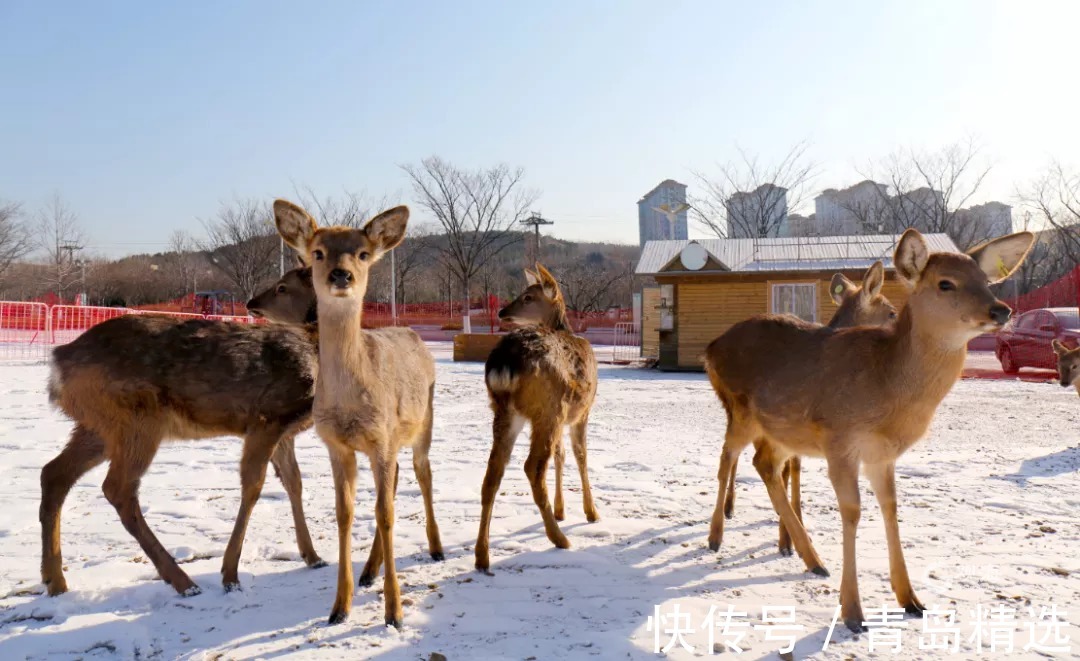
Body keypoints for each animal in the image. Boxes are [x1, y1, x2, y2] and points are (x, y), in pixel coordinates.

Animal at [41, 300, 324, 600]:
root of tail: (58, 363)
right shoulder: (267, 418)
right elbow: (253, 486)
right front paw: (230, 574)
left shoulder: (285, 433)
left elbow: (294, 482)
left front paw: (312, 555)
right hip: (136, 419)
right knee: (117, 488)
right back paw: (183, 581)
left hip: (98, 427)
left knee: (55, 473)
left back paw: (55, 581)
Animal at [274, 198, 442, 626]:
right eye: (317, 252)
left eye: (364, 253)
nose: (341, 274)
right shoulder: (336, 444)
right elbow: (344, 513)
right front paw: (339, 607)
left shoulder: (381, 438)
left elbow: (385, 514)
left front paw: (394, 611)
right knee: (398, 481)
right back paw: (369, 571)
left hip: (423, 423)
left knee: (423, 473)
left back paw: (436, 547)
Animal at [717, 260, 902, 552]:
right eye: (891, 312)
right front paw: (787, 538)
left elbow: (793, 467)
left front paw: (789, 533)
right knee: (733, 453)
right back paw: (723, 521)